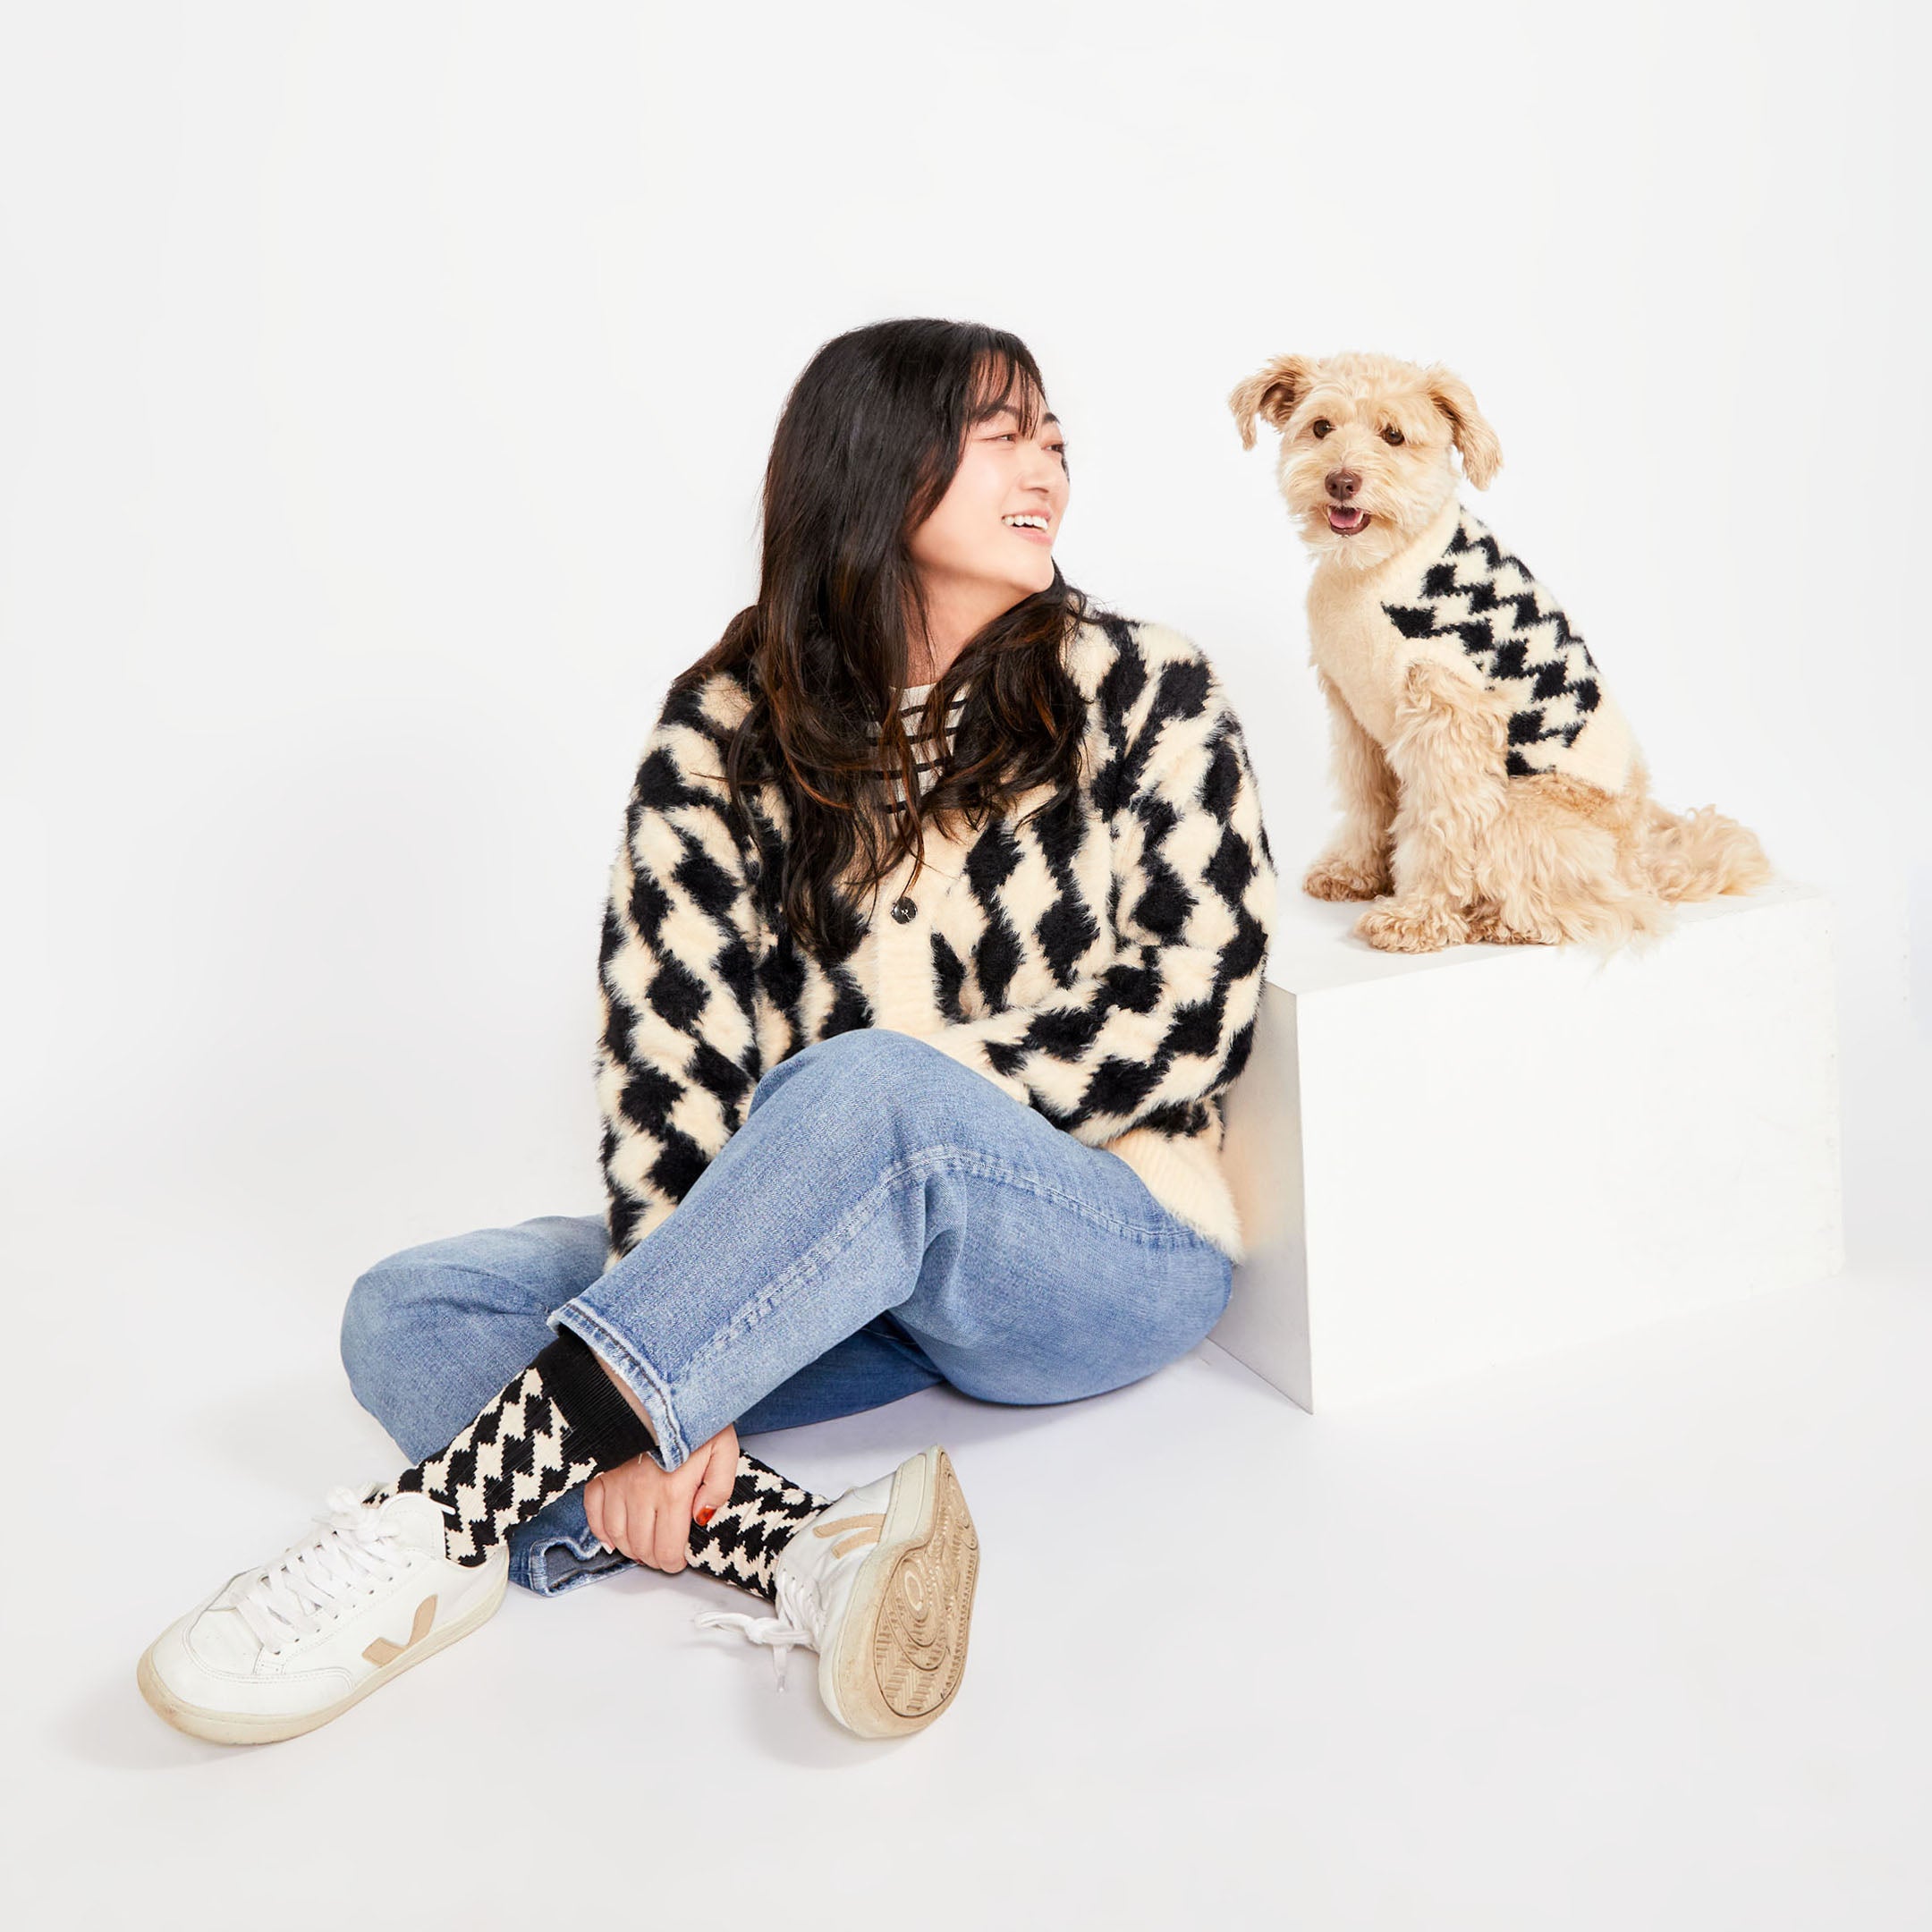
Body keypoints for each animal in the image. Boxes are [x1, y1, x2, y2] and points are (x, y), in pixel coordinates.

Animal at [1228, 352, 1769, 954]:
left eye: (1393, 435)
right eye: (1321, 427)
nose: (1341, 480)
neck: (1378, 564)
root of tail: (1641, 858)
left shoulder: (1449, 725)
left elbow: (1440, 825)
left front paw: (1418, 916)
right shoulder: (1358, 720)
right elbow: (1368, 801)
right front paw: (1356, 873)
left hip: (1521, 814)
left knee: (1603, 906)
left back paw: (1501, 920)